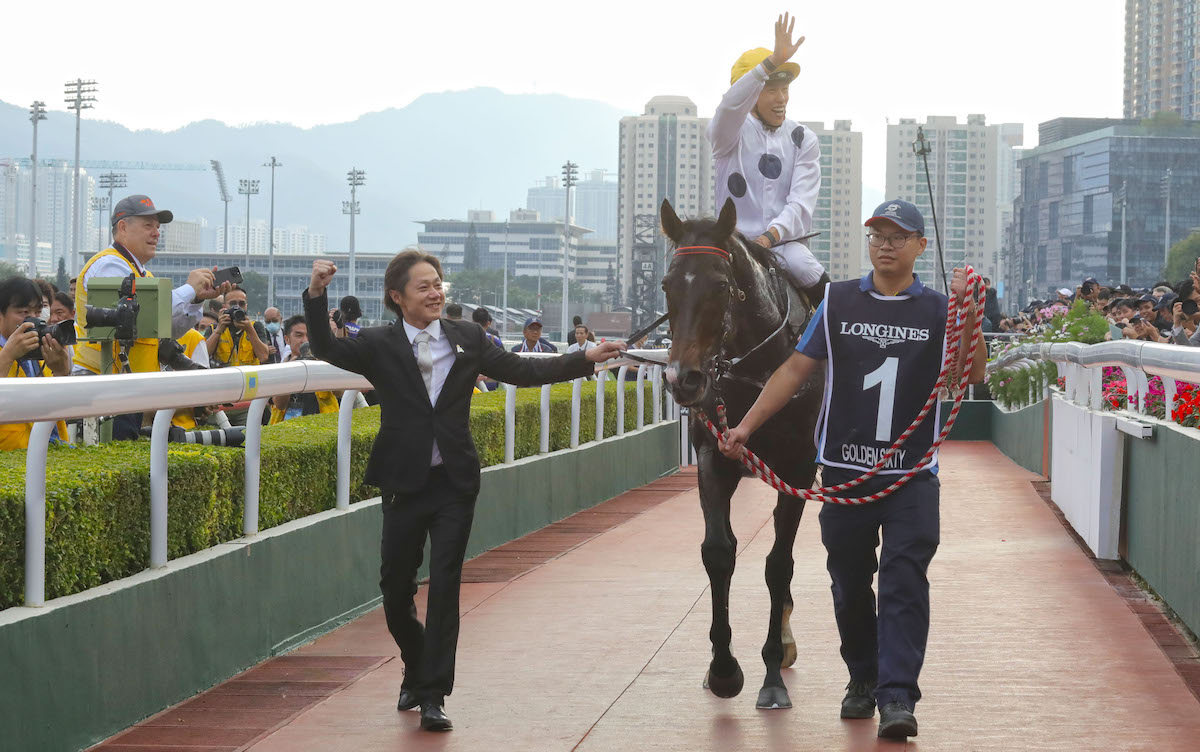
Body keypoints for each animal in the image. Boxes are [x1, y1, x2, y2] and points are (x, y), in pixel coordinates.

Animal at [657, 195, 825, 710]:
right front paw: (723, 669)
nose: (684, 379)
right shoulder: (716, 456)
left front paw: (770, 673)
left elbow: (778, 564)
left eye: (719, 284)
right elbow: (719, 552)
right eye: (668, 285)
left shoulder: (796, 469)